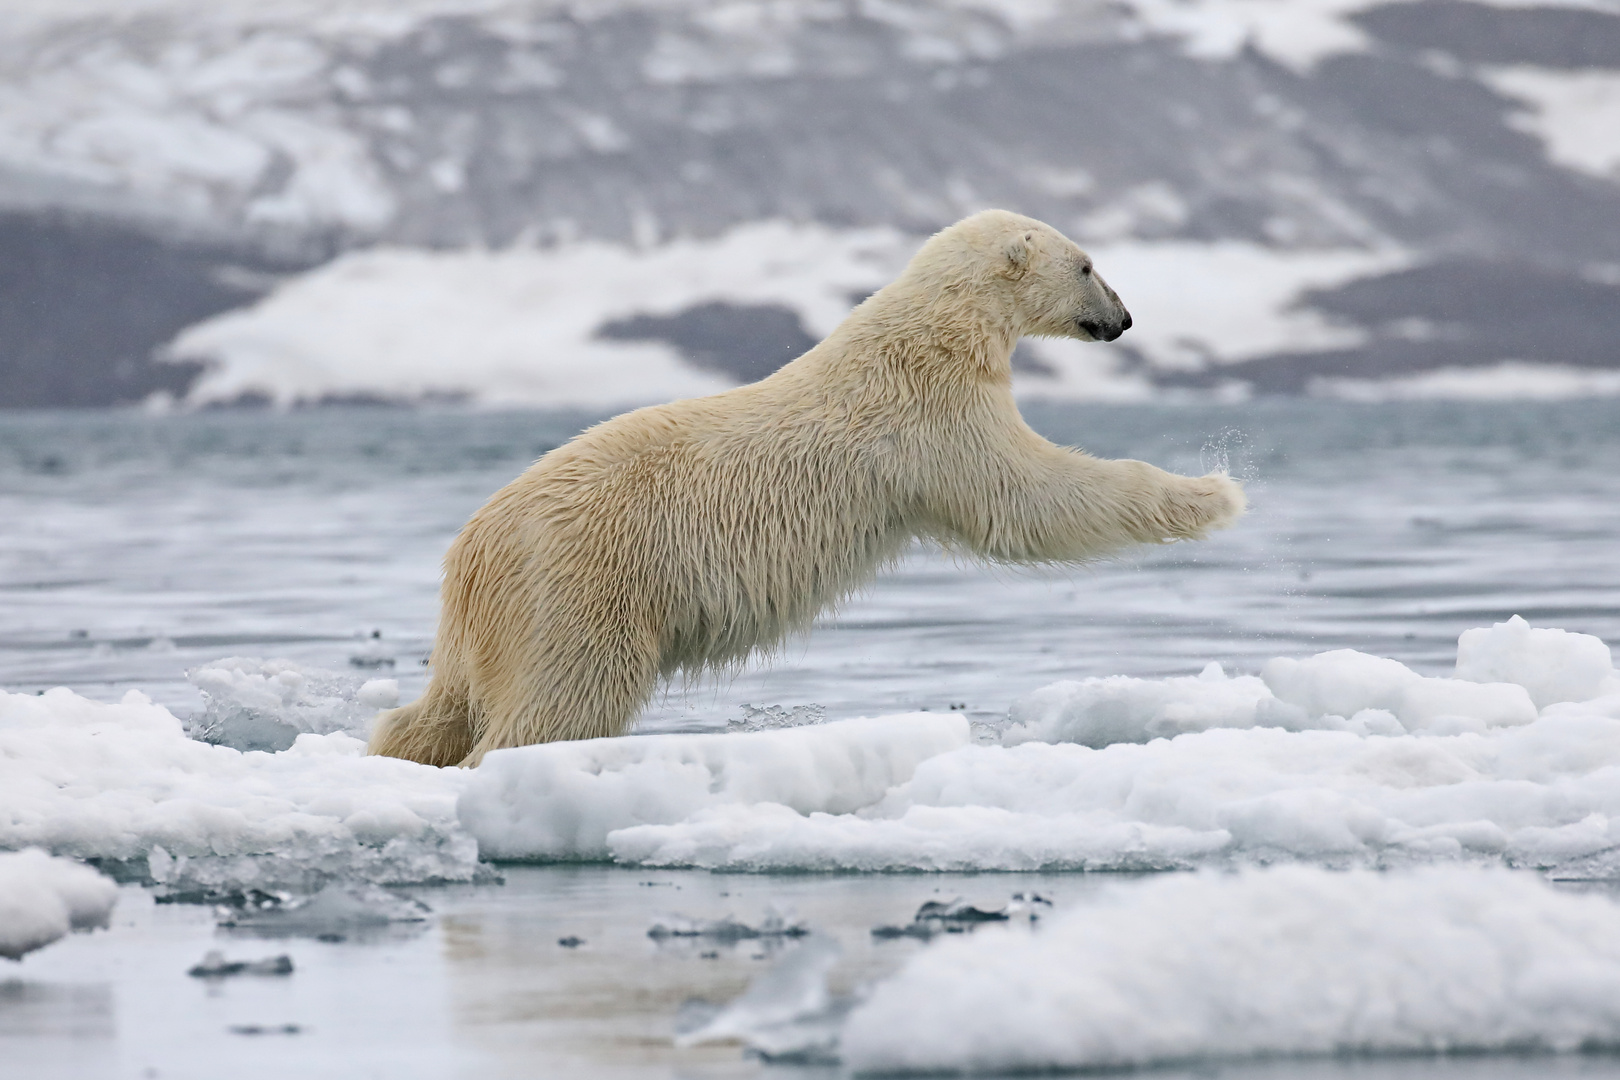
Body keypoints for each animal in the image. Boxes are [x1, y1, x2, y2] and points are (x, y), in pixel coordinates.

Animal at [372, 213, 1244, 767]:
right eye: (1089, 264)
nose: (1123, 319)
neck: (932, 333)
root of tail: (471, 552)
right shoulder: (932, 417)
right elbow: (1028, 500)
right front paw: (1212, 492)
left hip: (498, 615)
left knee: (442, 706)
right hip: (583, 580)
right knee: (563, 696)